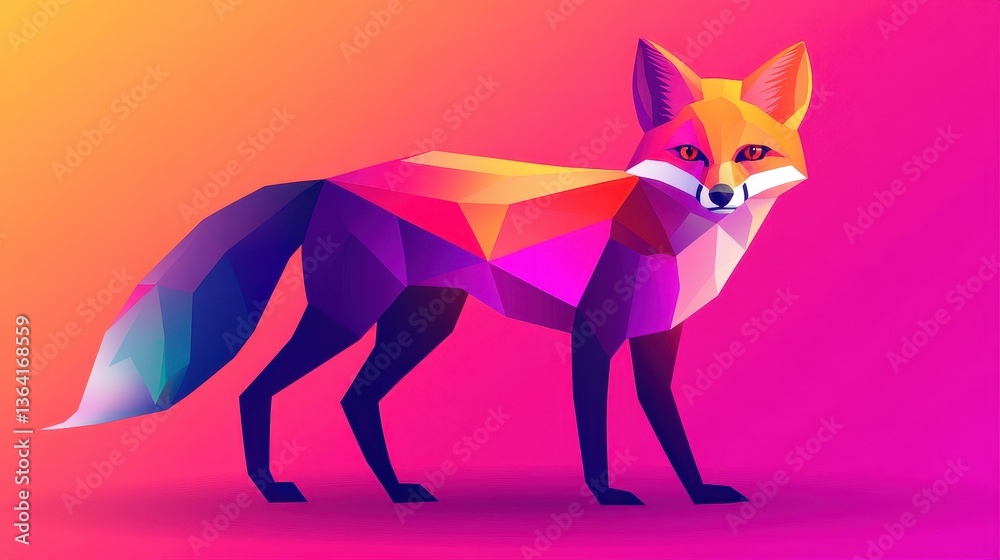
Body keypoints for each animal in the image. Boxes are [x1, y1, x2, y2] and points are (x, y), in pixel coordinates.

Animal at [50, 39, 813, 506]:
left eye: (751, 152)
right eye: (689, 152)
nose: (720, 195)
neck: (681, 241)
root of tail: (331, 178)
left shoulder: (659, 340)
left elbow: (670, 427)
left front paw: (699, 492)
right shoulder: (592, 334)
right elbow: (595, 427)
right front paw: (606, 495)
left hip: (421, 324)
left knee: (354, 400)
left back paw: (395, 491)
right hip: (347, 317)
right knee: (255, 388)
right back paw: (270, 486)